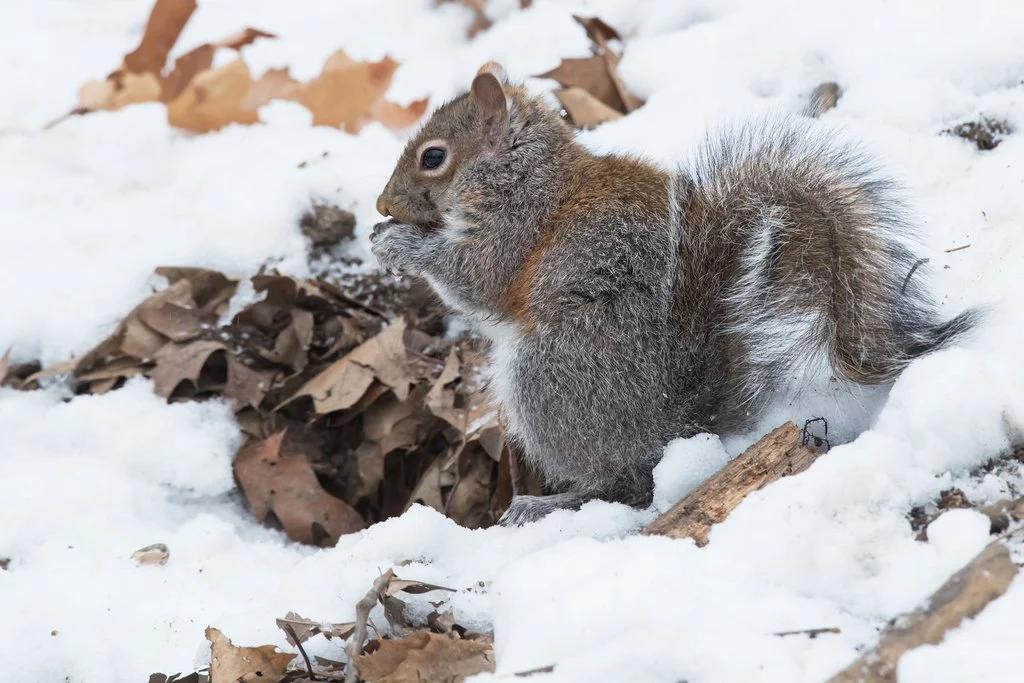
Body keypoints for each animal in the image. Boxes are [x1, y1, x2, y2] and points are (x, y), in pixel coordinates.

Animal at [370, 62, 978, 526]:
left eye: (433, 157)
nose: (381, 205)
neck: (524, 171)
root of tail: (677, 427)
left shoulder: (516, 229)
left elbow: (477, 280)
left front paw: (400, 245)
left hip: (550, 376)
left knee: (627, 483)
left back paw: (547, 504)